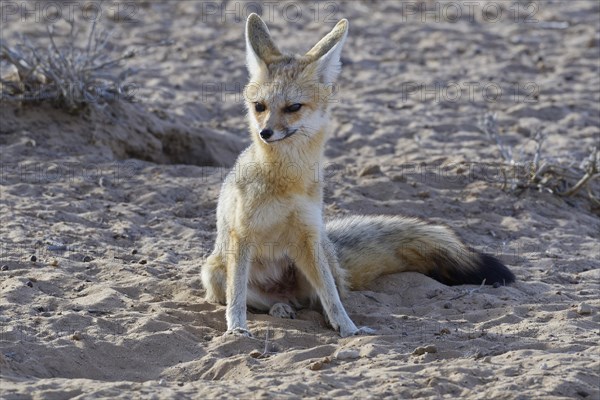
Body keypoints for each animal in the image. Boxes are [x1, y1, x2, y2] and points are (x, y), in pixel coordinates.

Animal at [202, 13, 516, 338]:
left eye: (293, 107)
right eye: (259, 107)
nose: (265, 133)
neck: (286, 181)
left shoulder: (307, 236)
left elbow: (331, 296)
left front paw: (349, 328)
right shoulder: (242, 236)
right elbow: (237, 297)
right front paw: (236, 329)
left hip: (319, 256)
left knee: (318, 299)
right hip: (214, 273)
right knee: (268, 301)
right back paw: (279, 308)